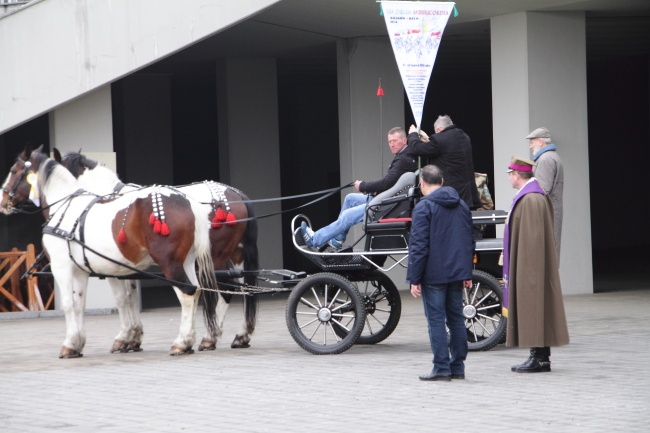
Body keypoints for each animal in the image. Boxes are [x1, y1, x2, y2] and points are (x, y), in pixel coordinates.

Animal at [0, 147, 220, 356]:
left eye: (13, 170)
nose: (3, 200)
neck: (67, 207)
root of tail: (189, 201)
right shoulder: (82, 270)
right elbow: (81, 303)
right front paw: (78, 344)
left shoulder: (63, 267)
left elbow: (72, 303)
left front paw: (70, 343)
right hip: (186, 261)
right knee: (197, 290)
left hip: (170, 264)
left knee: (186, 294)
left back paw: (182, 343)